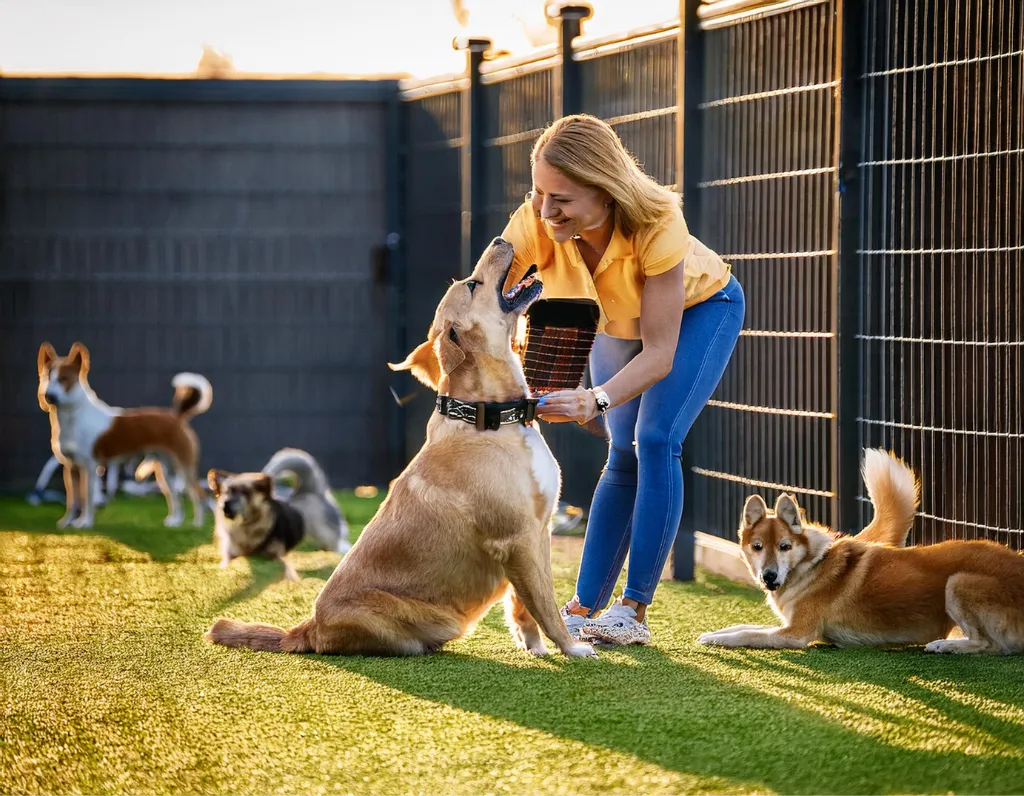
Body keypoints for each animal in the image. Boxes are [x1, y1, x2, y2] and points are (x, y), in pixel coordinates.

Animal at [36, 340, 211, 528]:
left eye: (63, 379)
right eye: (47, 378)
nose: (49, 396)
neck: (72, 416)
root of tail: (176, 416)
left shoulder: (89, 467)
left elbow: (87, 499)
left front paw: (85, 523)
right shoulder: (71, 467)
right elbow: (72, 500)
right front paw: (68, 522)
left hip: (184, 467)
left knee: (199, 496)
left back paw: (197, 525)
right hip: (165, 470)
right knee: (175, 496)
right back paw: (175, 522)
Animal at [207, 446, 352, 577]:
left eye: (245, 492)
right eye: (225, 492)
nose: (225, 504)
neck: (246, 528)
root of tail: (312, 491)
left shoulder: (277, 556)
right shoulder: (231, 552)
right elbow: (227, 561)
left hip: (328, 539)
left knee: (339, 547)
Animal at [696, 446, 1024, 651]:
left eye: (785, 546)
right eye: (757, 547)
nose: (769, 576)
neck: (810, 565)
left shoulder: (796, 633)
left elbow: (749, 633)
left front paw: (720, 640)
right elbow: (743, 624)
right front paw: (716, 632)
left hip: (958, 582)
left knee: (988, 644)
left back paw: (945, 645)